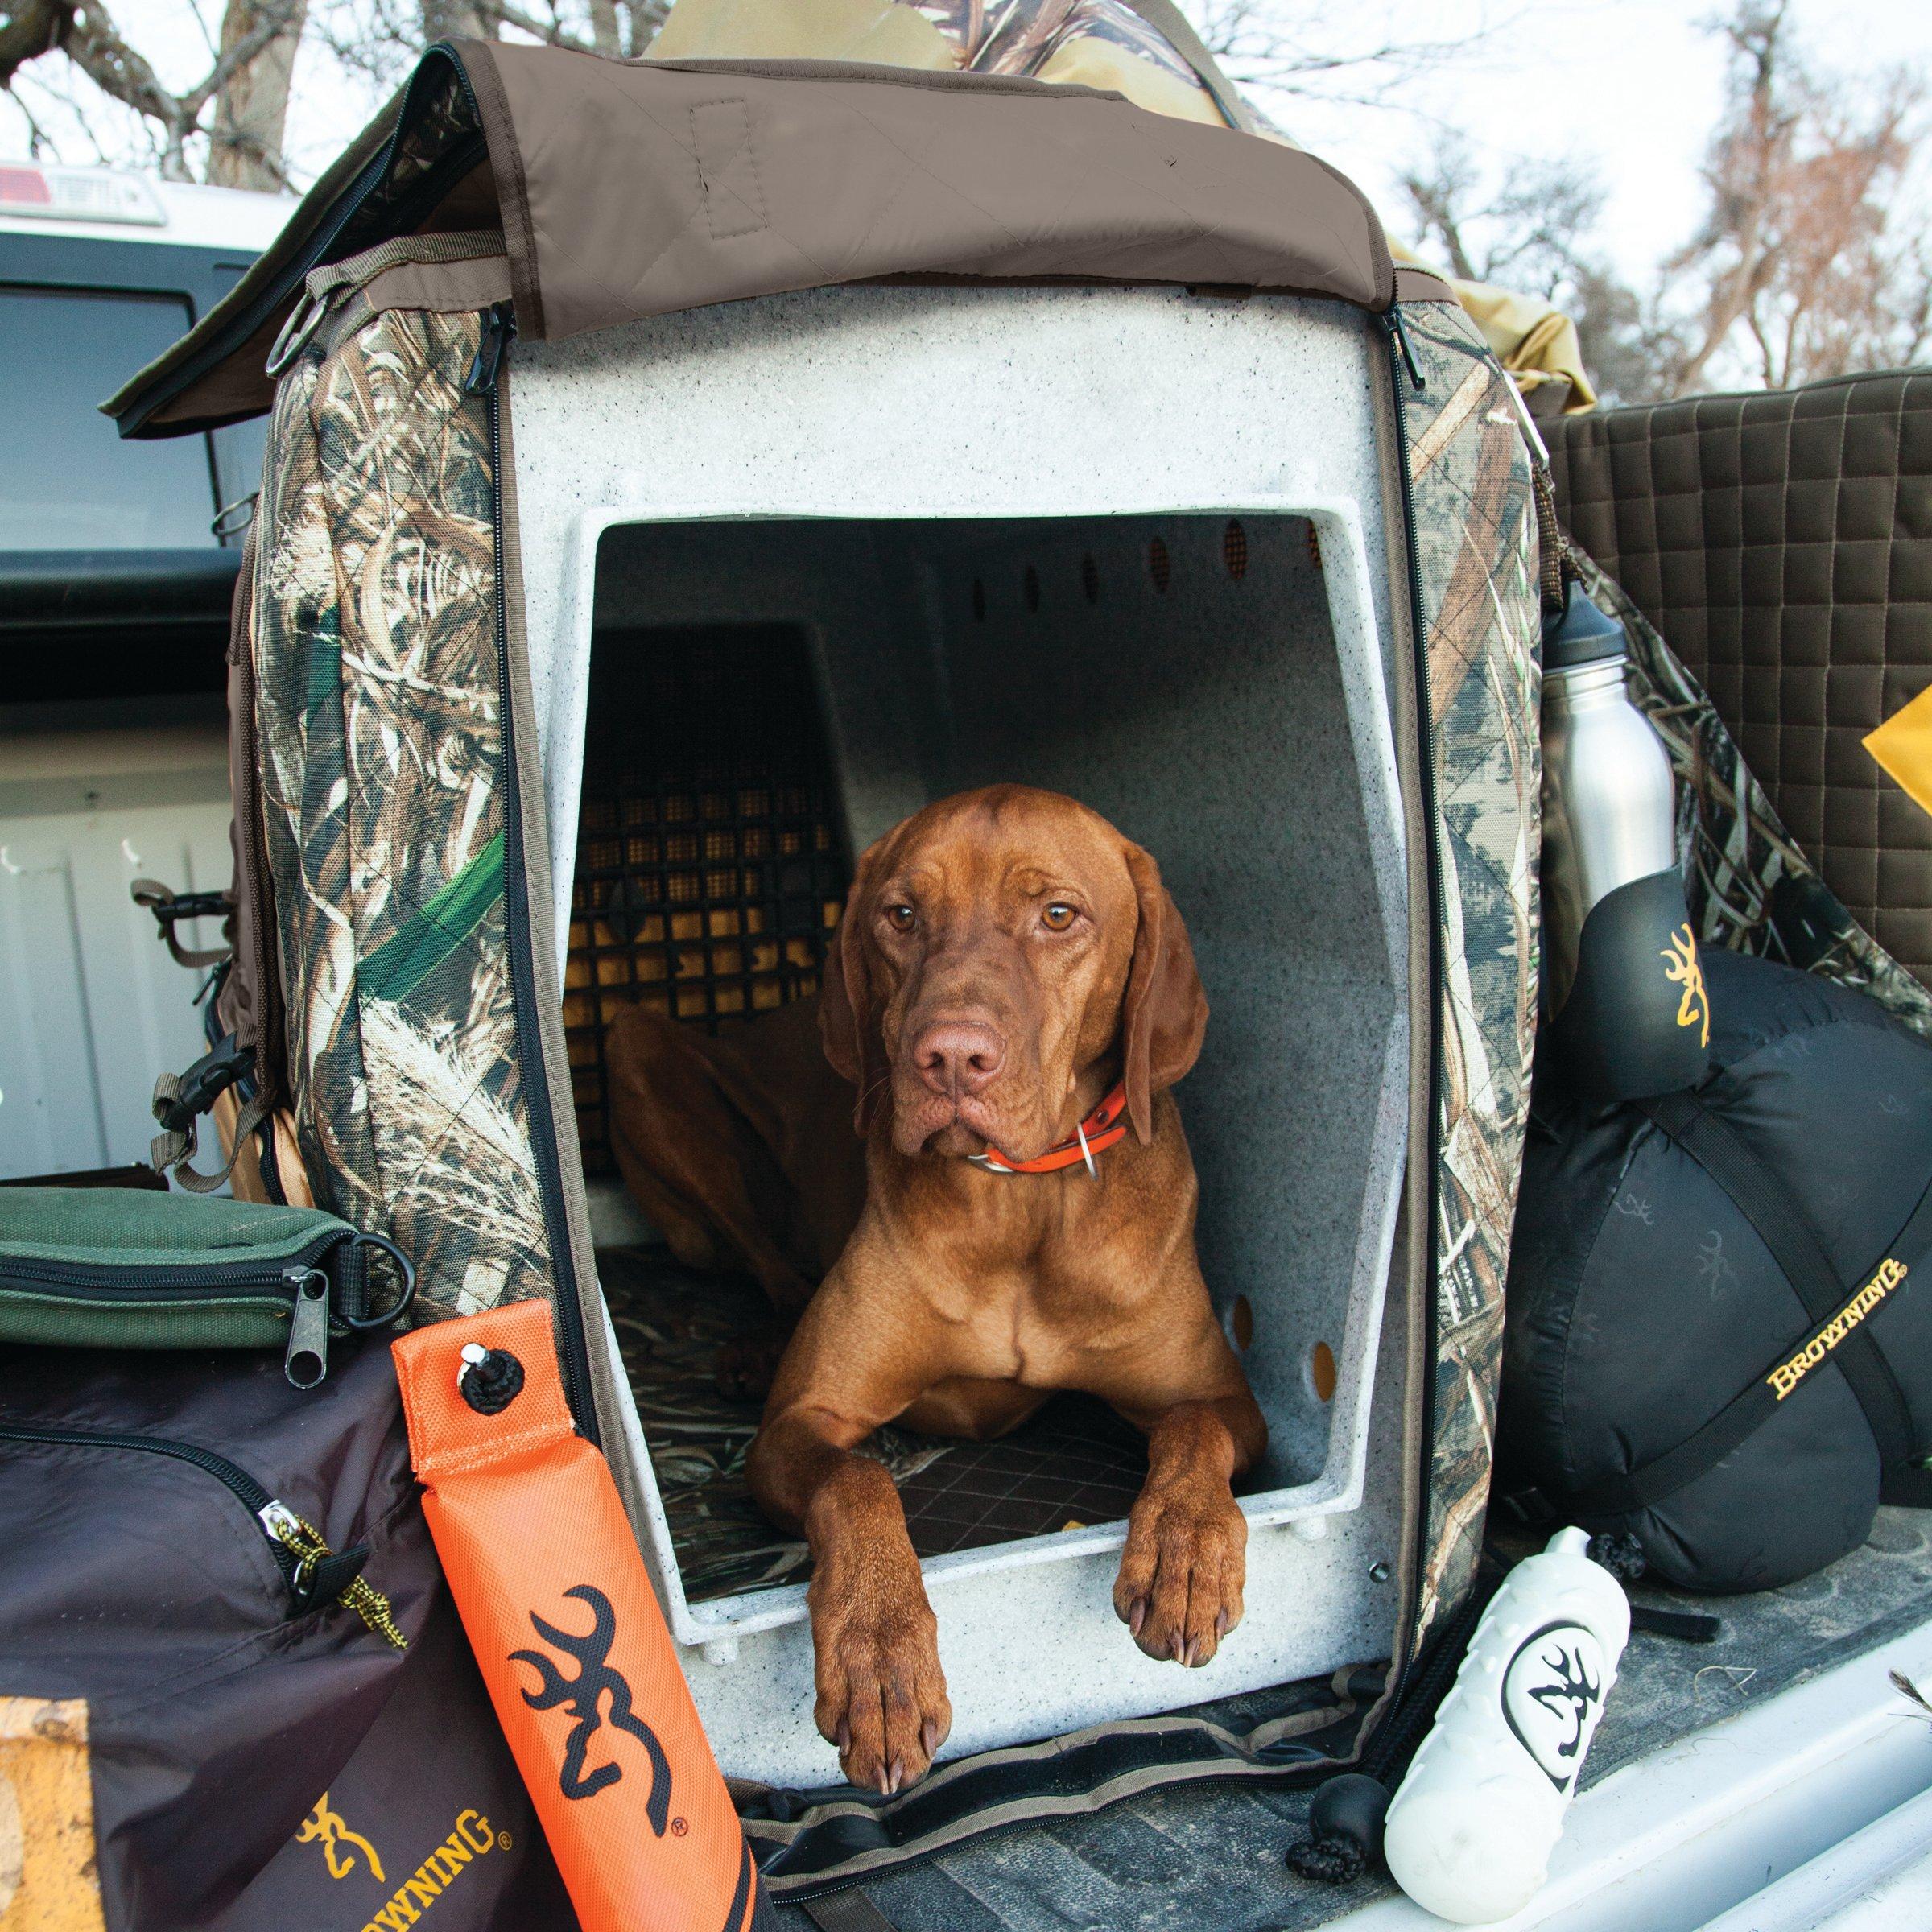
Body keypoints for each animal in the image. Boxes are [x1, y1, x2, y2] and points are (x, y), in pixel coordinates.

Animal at [737, 784, 1267, 1793]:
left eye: (1057, 915)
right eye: (902, 916)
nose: (950, 1058)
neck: (1016, 1205)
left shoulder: (1229, 1400)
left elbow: (1193, 1425)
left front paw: (1185, 1553)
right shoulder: (797, 1423)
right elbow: (857, 1478)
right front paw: (880, 1651)